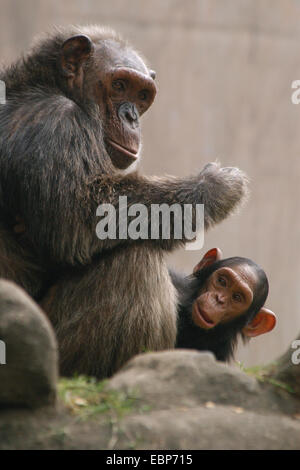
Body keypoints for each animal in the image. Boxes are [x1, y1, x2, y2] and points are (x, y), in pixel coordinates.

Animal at [0, 24, 248, 378]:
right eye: (119, 86)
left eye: (142, 95)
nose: (131, 116)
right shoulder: (56, 123)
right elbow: (81, 213)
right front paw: (216, 185)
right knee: (135, 257)